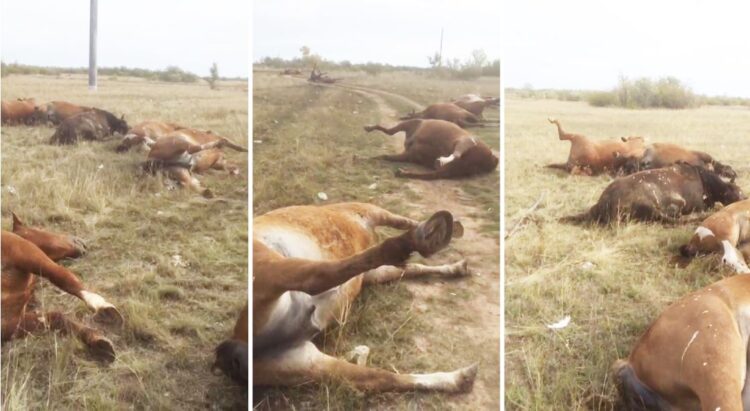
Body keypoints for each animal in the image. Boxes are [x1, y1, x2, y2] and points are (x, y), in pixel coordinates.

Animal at [1, 214, 123, 362]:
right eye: (39, 228)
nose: (82, 242)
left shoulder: (9, 324)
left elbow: (56, 318)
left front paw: (98, 342)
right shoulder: (28, 253)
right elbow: (64, 277)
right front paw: (104, 307)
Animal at [251, 204, 476, 394]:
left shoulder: (370, 273)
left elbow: (407, 268)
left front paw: (456, 267)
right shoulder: (367, 209)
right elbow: (402, 223)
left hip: (305, 363)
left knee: (381, 378)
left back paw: (460, 378)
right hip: (270, 266)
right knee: (317, 277)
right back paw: (426, 235)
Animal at [364, 117, 500, 179]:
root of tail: (493, 159)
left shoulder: (409, 124)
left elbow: (388, 132)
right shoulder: (409, 154)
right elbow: (384, 155)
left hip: (464, 141)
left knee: (456, 154)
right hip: (453, 169)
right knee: (432, 174)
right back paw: (404, 172)